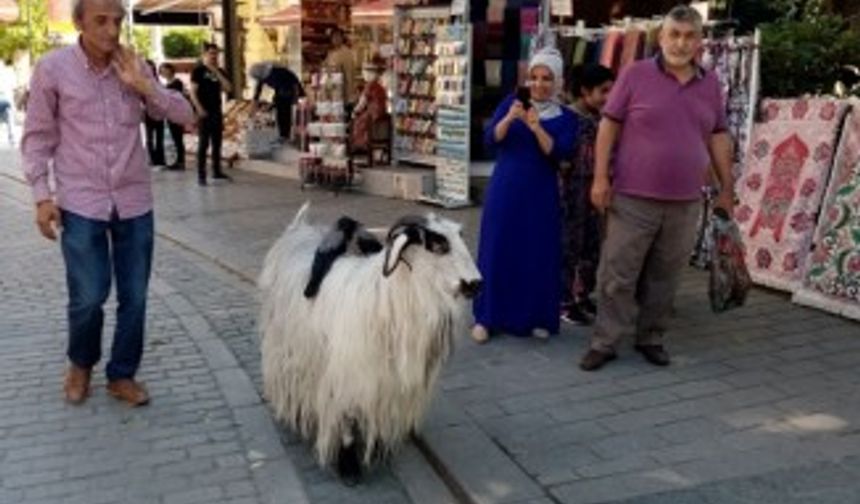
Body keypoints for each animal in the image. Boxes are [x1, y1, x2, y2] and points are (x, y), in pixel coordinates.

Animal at [255, 203, 484, 482]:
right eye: (438, 244)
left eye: (460, 237)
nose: (475, 284)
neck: (386, 298)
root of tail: (297, 229)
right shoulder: (347, 377)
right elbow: (348, 421)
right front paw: (349, 466)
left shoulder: (387, 383)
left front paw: (378, 450)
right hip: (285, 343)